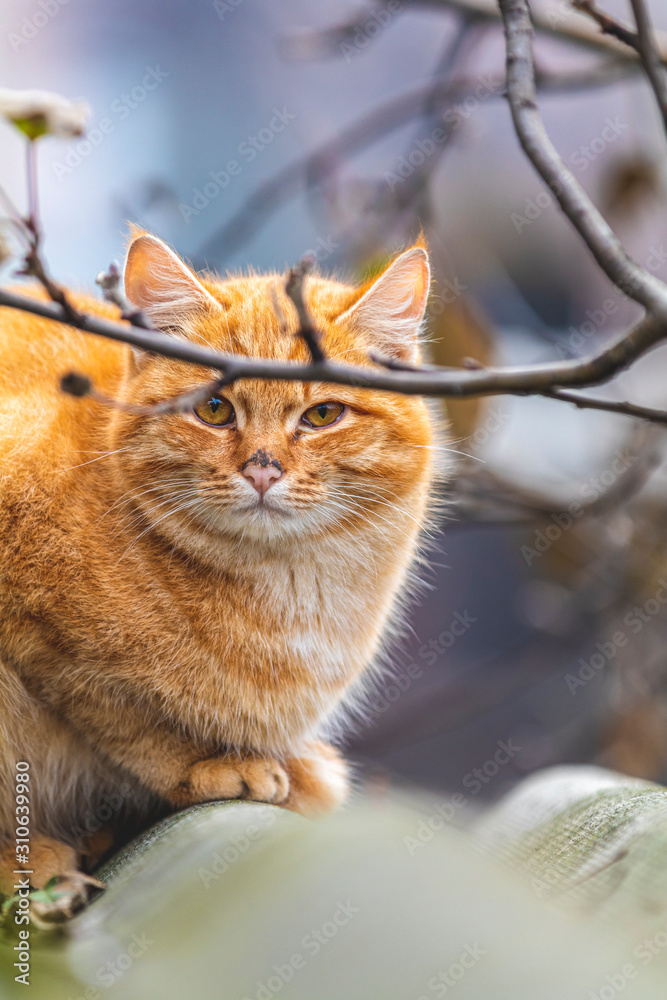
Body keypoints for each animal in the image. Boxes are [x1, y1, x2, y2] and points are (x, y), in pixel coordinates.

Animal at [0, 234, 438, 908]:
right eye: (213, 408)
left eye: (322, 415)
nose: (262, 468)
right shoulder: (43, 641)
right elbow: (118, 712)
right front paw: (202, 765)